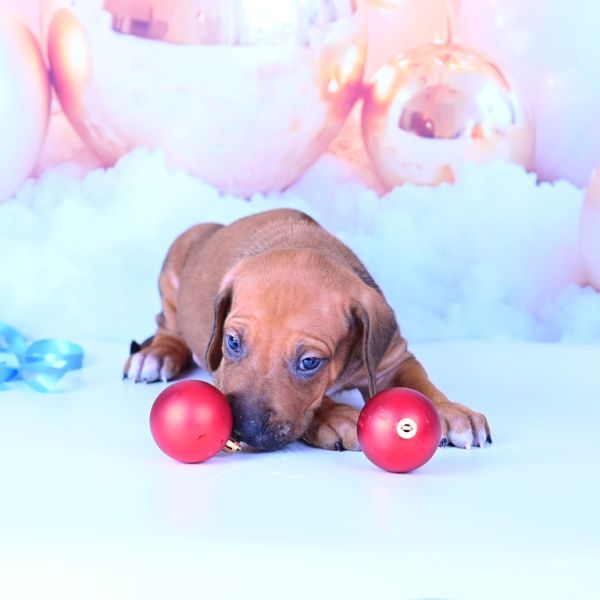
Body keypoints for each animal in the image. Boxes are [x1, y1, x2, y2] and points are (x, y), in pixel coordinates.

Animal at [124, 208, 491, 451]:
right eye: (232, 342)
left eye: (310, 362)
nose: (241, 428)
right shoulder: (221, 369)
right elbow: (320, 402)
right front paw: (337, 416)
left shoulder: (392, 358)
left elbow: (421, 382)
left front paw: (451, 412)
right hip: (178, 258)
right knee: (169, 326)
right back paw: (156, 355)